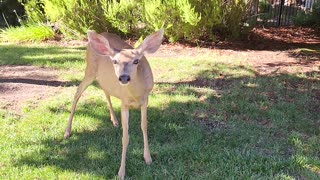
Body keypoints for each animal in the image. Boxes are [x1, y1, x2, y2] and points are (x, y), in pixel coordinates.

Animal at [63, 29, 164, 179]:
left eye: (136, 61)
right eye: (115, 61)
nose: (124, 77)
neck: (136, 94)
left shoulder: (145, 100)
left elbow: (144, 126)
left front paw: (148, 158)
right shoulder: (124, 102)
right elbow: (125, 137)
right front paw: (121, 172)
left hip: (103, 79)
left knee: (105, 91)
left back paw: (114, 120)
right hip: (89, 70)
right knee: (77, 93)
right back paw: (67, 132)